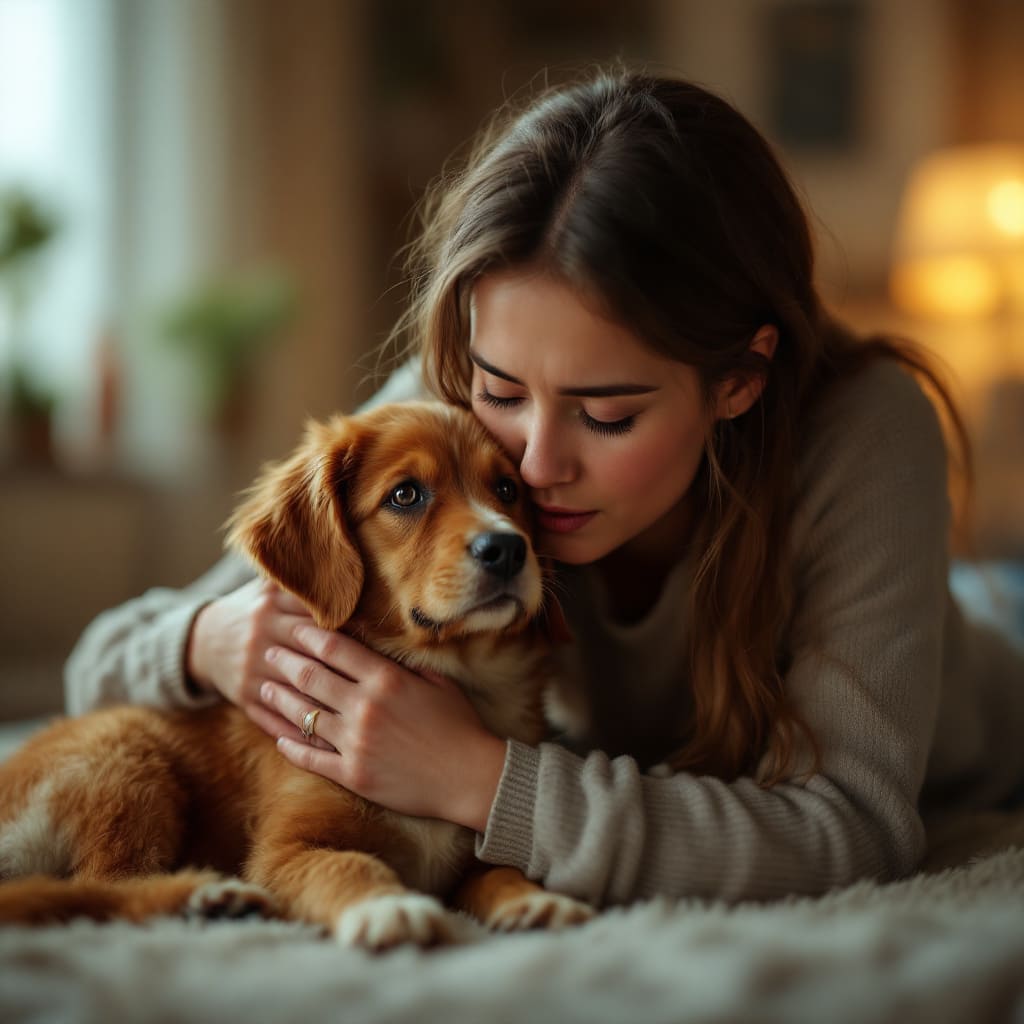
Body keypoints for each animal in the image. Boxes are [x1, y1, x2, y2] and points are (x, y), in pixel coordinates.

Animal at [0, 401, 593, 950]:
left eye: (507, 488)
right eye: (405, 495)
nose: (508, 549)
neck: (459, 672)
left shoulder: (468, 855)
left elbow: (500, 868)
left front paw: (534, 900)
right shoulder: (283, 851)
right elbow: (349, 864)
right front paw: (389, 906)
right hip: (127, 760)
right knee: (107, 886)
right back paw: (207, 896)